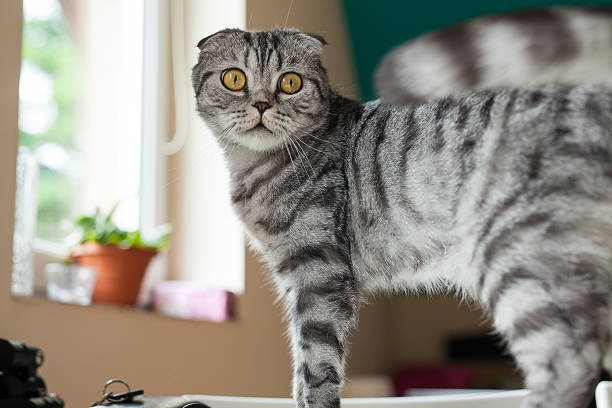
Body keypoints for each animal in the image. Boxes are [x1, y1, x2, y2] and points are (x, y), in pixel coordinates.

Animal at [190, 27, 612, 406]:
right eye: (234, 78)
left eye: (290, 82)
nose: (262, 104)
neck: (254, 167)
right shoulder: (293, 278)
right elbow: (299, 360)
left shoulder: (319, 272)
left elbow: (316, 362)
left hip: (514, 251)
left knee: (570, 362)